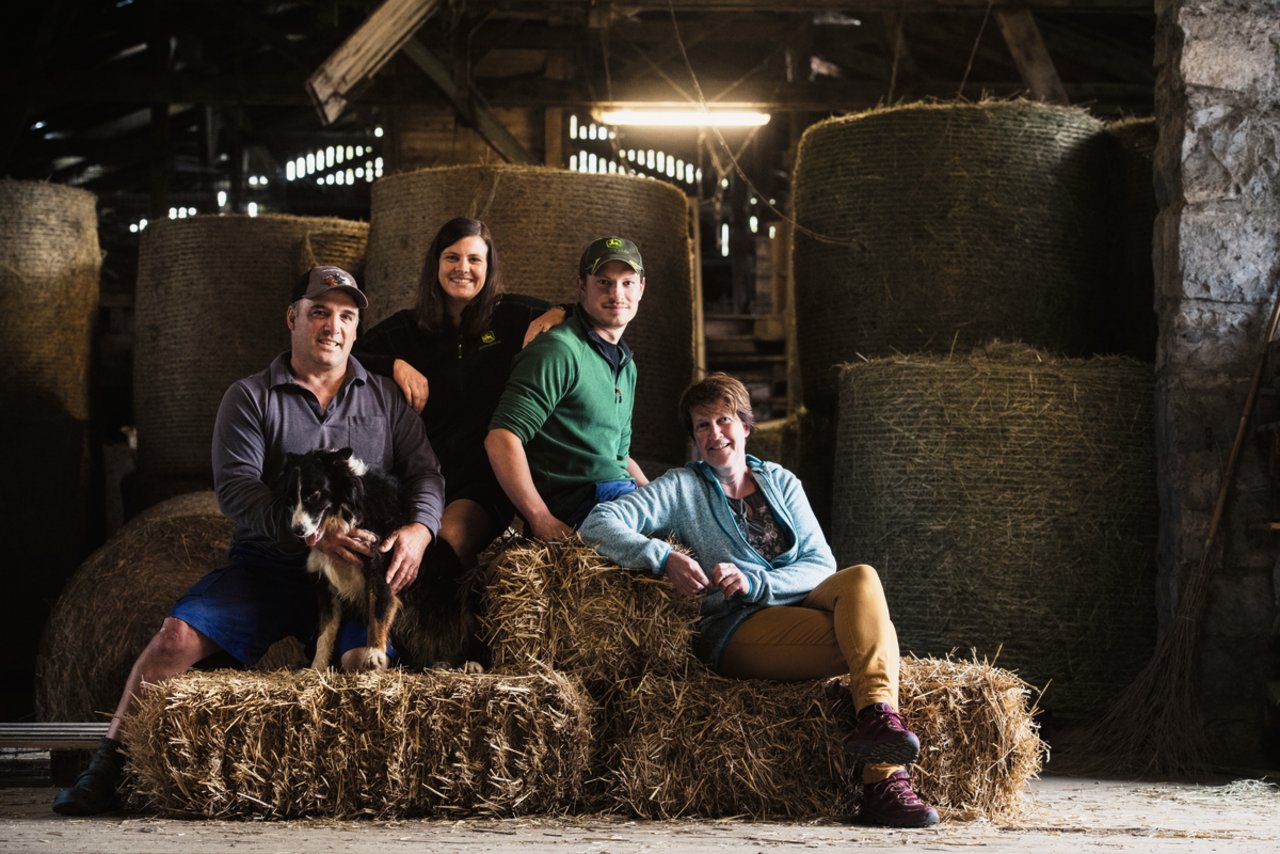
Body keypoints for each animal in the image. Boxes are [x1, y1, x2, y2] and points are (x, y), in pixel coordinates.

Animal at [282, 448, 481, 676]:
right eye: (291, 498)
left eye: (314, 495)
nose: (297, 531)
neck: (349, 513)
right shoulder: (326, 587)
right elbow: (325, 633)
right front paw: (317, 667)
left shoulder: (385, 568)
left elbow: (377, 612)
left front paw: (374, 654)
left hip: (466, 606)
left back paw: (472, 663)